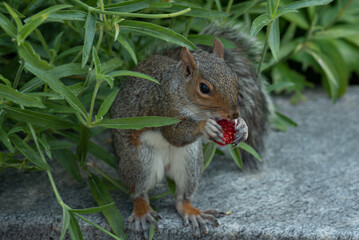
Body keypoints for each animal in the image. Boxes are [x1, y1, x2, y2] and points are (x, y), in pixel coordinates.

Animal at [111, 23, 272, 237]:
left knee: (182, 198)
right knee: (137, 192)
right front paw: (205, 127)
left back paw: (192, 212)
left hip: (190, 161)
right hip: (139, 160)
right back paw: (142, 212)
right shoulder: (164, 109)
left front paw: (243, 126)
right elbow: (174, 135)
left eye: (235, 78)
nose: (234, 114)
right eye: (204, 88)